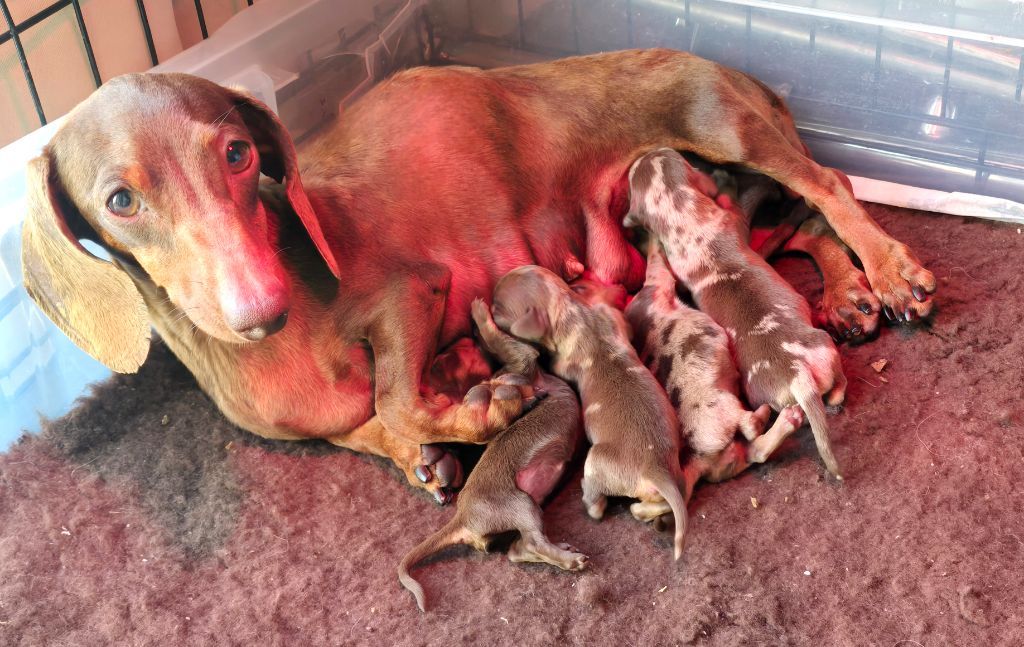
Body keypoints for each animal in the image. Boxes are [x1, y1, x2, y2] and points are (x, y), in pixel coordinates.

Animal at [398, 302, 585, 611]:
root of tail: (462, 518)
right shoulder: (522, 359)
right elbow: (502, 341)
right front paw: (479, 312)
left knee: (518, 550)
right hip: (520, 503)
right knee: (531, 543)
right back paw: (572, 560)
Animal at [487, 265, 689, 559]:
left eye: (498, 307)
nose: (488, 301)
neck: (573, 312)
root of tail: (655, 467)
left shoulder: (562, 361)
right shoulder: (612, 317)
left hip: (596, 462)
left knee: (595, 506)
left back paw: (588, 493)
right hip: (674, 476)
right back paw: (640, 510)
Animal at [625, 149, 847, 479]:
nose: (649, 149)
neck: (680, 217)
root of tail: (798, 374)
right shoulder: (732, 217)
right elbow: (733, 202)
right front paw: (725, 178)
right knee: (838, 384)